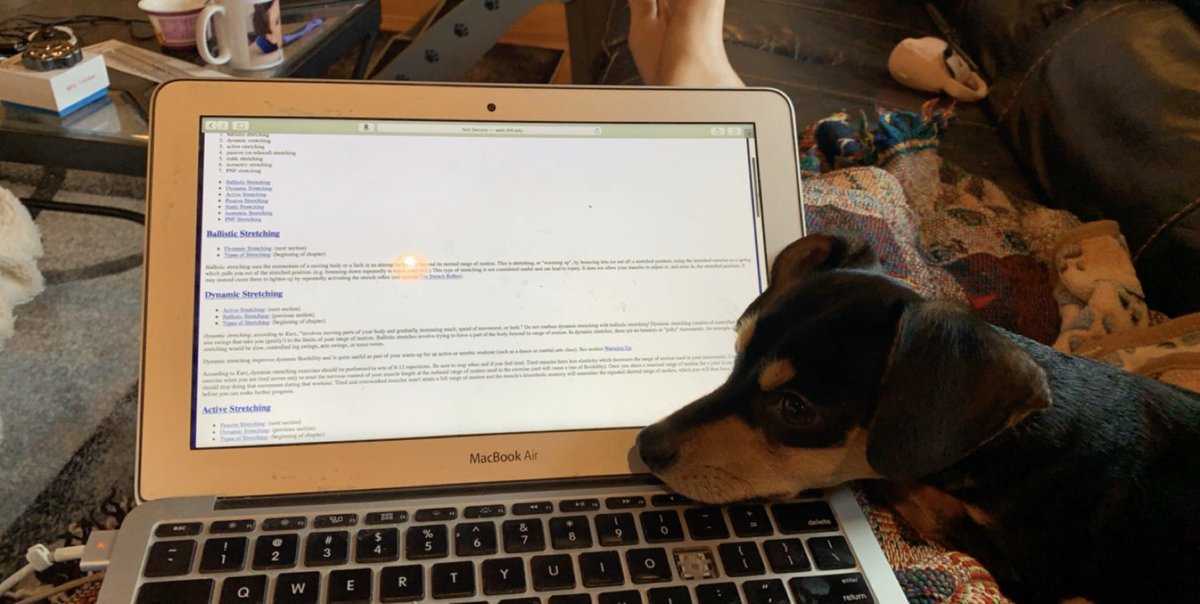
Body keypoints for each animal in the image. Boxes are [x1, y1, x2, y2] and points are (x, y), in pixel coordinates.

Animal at [637, 233, 1200, 603]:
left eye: (796, 409)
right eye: (734, 359)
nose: (644, 447)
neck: (1008, 445)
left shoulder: (1027, 573)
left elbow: (908, 484)